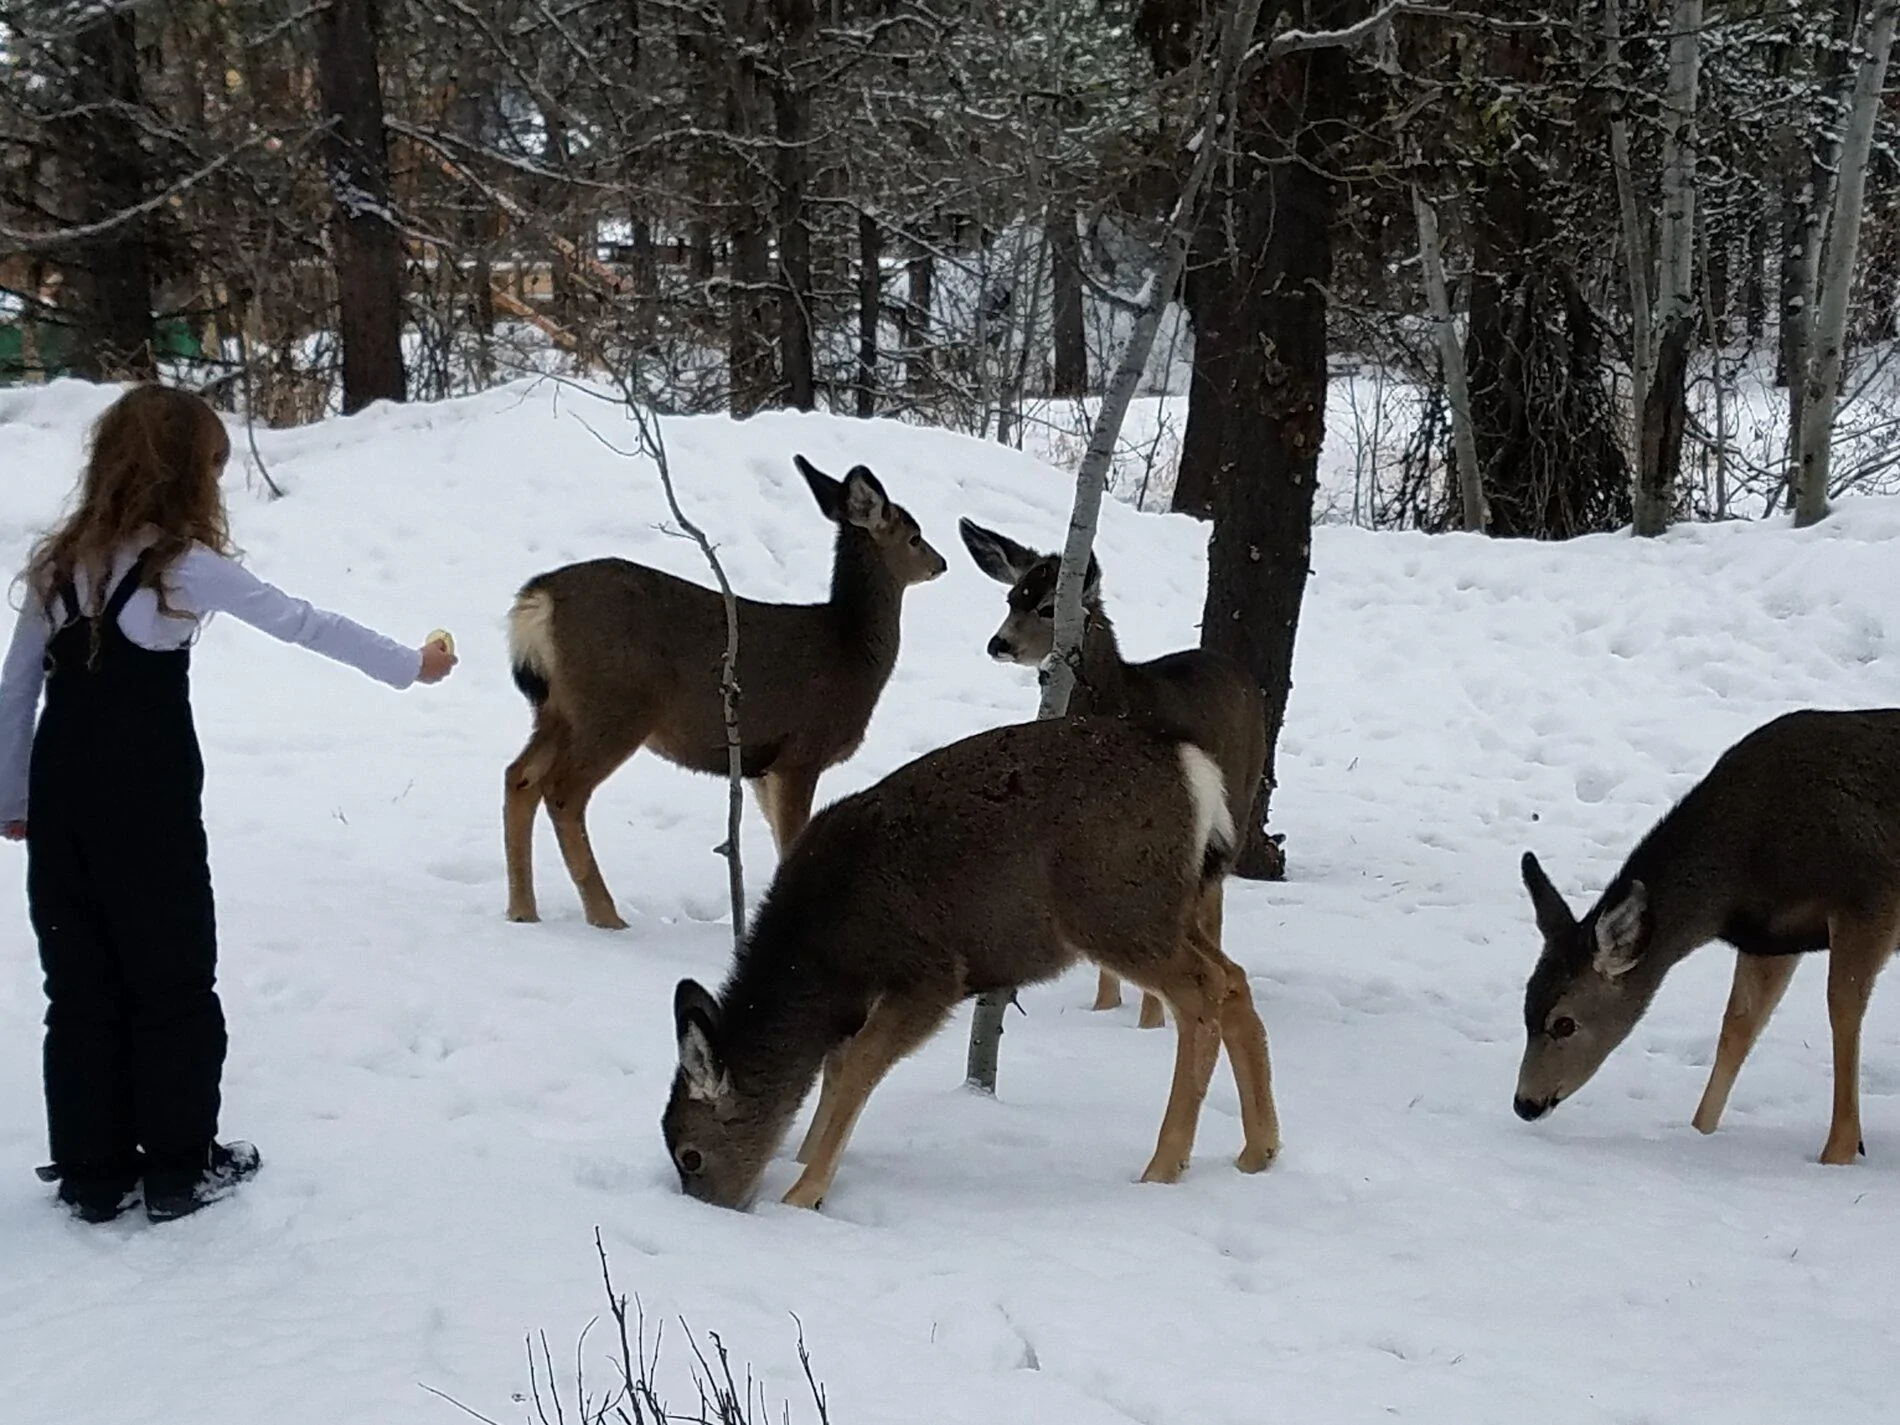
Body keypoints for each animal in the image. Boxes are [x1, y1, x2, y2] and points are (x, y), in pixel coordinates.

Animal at [504, 455, 947, 929]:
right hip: (614, 704)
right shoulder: (802, 750)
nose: (940, 562)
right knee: (563, 791)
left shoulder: (761, 764)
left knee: (520, 776)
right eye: (915, 536)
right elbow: (792, 840)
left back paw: (522, 910)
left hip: (557, 707)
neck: (851, 649)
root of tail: (538, 598)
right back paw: (606, 917)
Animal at [661, 712, 1281, 1210]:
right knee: (1233, 979)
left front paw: (804, 1191)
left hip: (1113, 909)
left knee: (1202, 990)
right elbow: (836, 1067)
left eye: (691, 1155)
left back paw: (1164, 1166)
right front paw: (803, 1159)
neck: (818, 959)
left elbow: (858, 1064)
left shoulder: (930, 972)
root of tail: (1196, 771)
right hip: (1164, 910)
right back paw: (1259, 1151)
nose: (714, 1209)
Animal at [957, 518, 1267, 1029]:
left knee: (1211, 900)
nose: (997, 644)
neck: (1120, 699)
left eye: (1047, 607)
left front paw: (1148, 1023)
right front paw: (1103, 1007)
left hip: (1237, 802)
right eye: (1012, 598)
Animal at [1515, 707, 1900, 1166]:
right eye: (1525, 1009)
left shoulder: (1869, 898)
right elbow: (1738, 1026)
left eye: (1564, 1023)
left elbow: (1842, 1010)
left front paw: (1839, 1152)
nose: (1524, 1103)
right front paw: (1699, 1132)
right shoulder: (1770, 936)